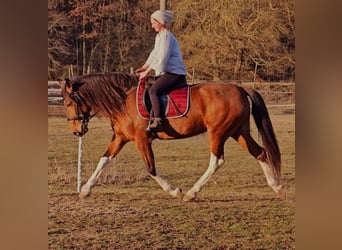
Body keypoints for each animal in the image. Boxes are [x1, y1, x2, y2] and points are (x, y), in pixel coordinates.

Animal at [59, 72, 284, 201]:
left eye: (68, 103)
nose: (76, 131)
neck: (122, 100)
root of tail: (239, 87)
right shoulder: (120, 138)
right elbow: (104, 160)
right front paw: (85, 190)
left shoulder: (142, 140)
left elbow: (150, 168)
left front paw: (175, 191)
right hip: (239, 131)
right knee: (260, 152)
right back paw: (276, 186)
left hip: (218, 133)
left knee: (217, 160)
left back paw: (192, 193)